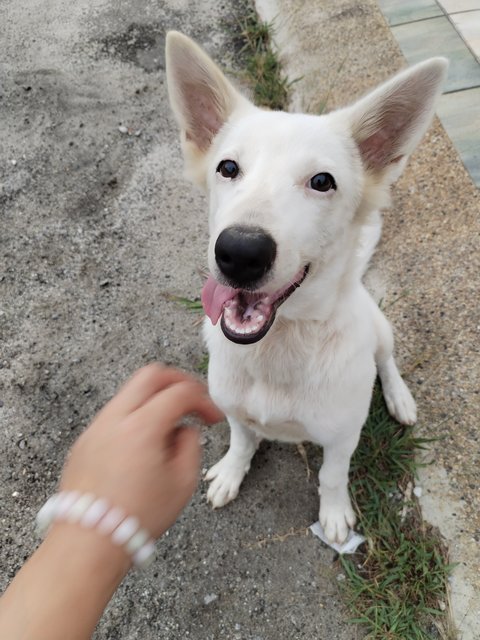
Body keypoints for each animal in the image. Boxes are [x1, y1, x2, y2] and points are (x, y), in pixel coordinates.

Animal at [167, 32, 448, 544]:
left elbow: (331, 476)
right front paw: (232, 472)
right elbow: (242, 441)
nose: (240, 252)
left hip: (381, 328)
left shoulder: (342, 437)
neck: (279, 346)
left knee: (387, 361)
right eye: (227, 168)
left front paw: (334, 513)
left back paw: (399, 398)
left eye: (322, 181)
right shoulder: (234, 410)